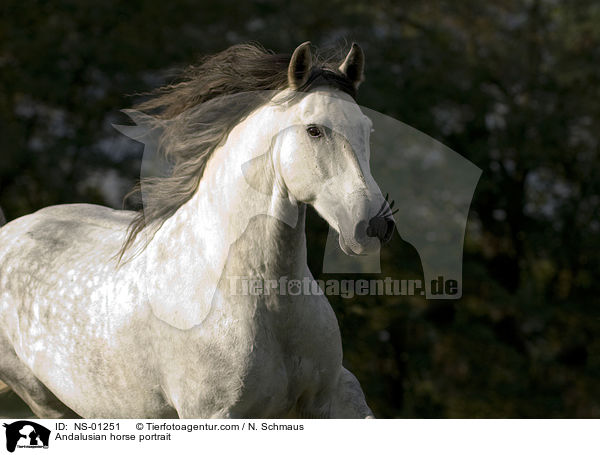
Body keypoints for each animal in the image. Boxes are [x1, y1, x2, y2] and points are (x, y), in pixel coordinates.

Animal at [1, 42, 394, 420]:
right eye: (314, 130)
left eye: (368, 130)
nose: (375, 224)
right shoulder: (213, 412)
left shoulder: (330, 398)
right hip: (42, 397)